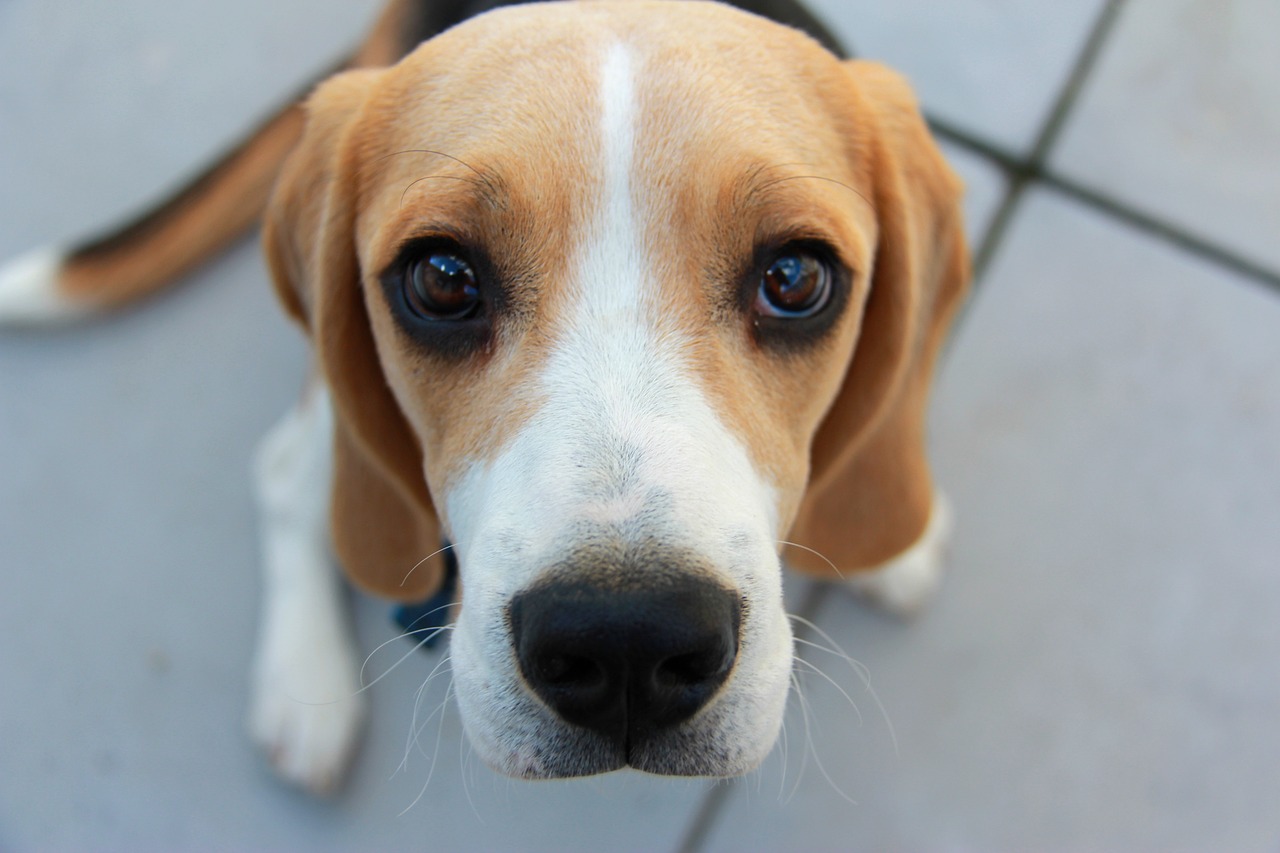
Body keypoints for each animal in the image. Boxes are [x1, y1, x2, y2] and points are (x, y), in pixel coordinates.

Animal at [0, 0, 962, 788]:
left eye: (796, 278)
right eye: (442, 278)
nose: (626, 640)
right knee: (286, 470)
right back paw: (304, 686)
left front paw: (893, 545)